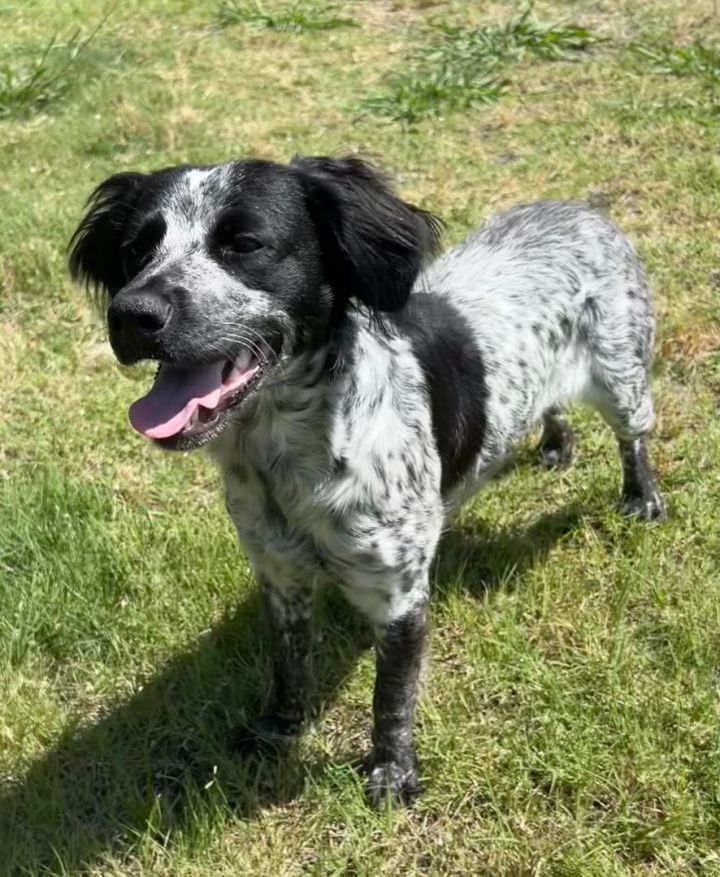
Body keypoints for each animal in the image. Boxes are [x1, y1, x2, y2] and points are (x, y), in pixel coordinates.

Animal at [70, 156, 668, 800]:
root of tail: (579, 208)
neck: (286, 454)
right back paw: (555, 443)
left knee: (633, 437)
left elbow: (392, 695)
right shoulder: (278, 573)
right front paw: (280, 729)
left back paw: (641, 498)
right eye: (136, 250)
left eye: (245, 244)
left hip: (621, 378)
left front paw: (391, 772)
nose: (132, 314)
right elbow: (289, 665)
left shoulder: (398, 595)